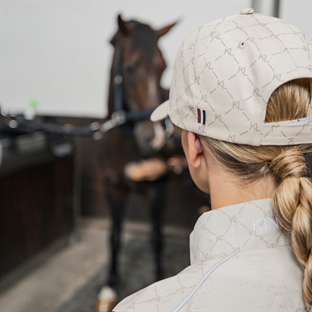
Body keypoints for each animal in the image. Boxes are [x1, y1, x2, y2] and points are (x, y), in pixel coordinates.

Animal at [97, 14, 180, 310]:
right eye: (130, 67)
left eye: (163, 66)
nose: (155, 138)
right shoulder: (112, 188)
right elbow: (114, 236)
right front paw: (110, 285)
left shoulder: (157, 189)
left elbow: (156, 238)